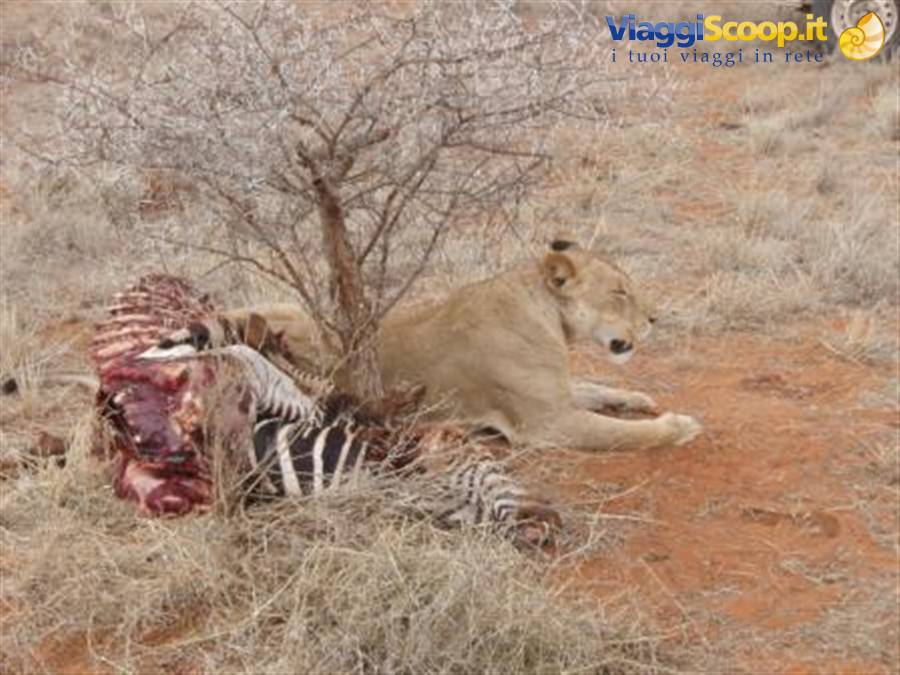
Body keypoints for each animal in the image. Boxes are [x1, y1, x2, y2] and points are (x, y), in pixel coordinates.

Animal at [228, 240, 701, 452]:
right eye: (620, 292)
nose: (655, 319)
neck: (550, 317)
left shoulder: (559, 393)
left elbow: (595, 386)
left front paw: (635, 397)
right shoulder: (548, 423)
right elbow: (630, 434)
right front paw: (680, 425)